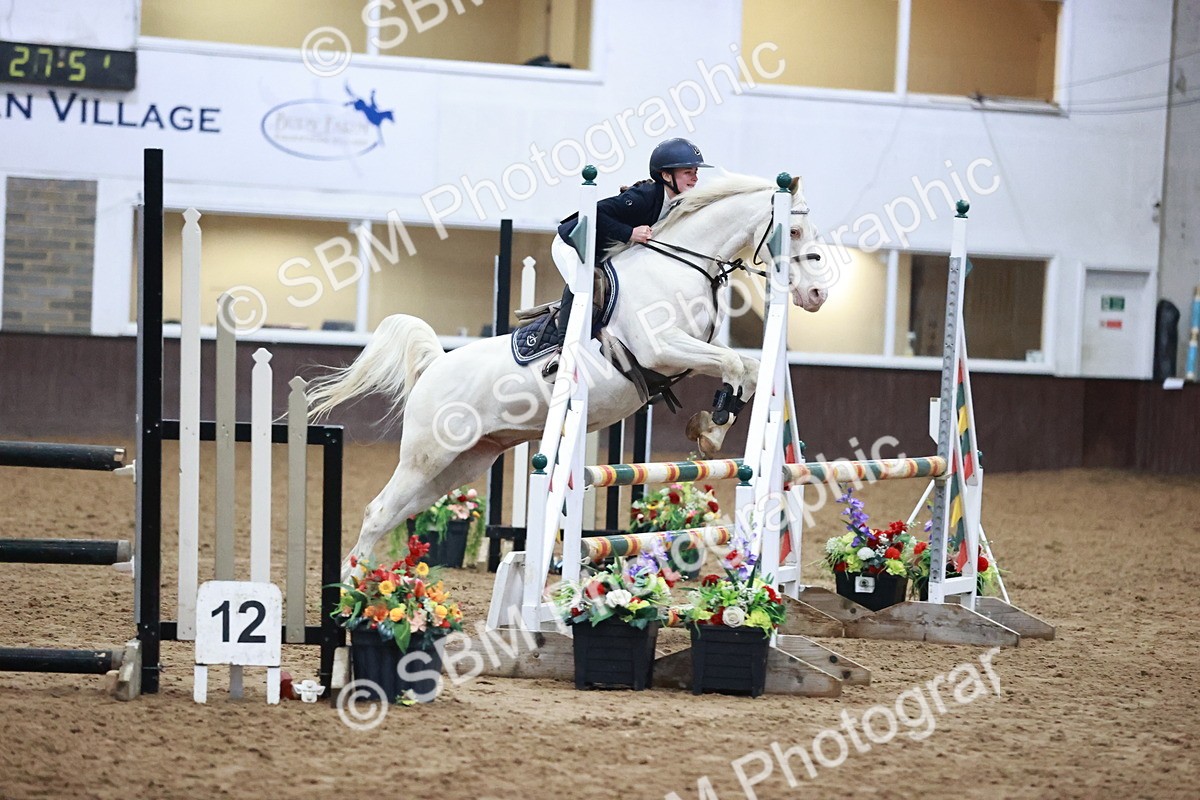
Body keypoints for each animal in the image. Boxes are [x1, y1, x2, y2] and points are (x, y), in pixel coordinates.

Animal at [306, 172, 828, 575]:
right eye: (795, 233)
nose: (818, 295)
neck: (683, 264)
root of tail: (436, 364)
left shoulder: (696, 349)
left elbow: (750, 366)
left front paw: (711, 427)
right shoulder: (663, 348)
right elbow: (738, 364)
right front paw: (712, 428)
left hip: (462, 462)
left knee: (398, 512)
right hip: (428, 456)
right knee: (378, 512)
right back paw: (350, 596)